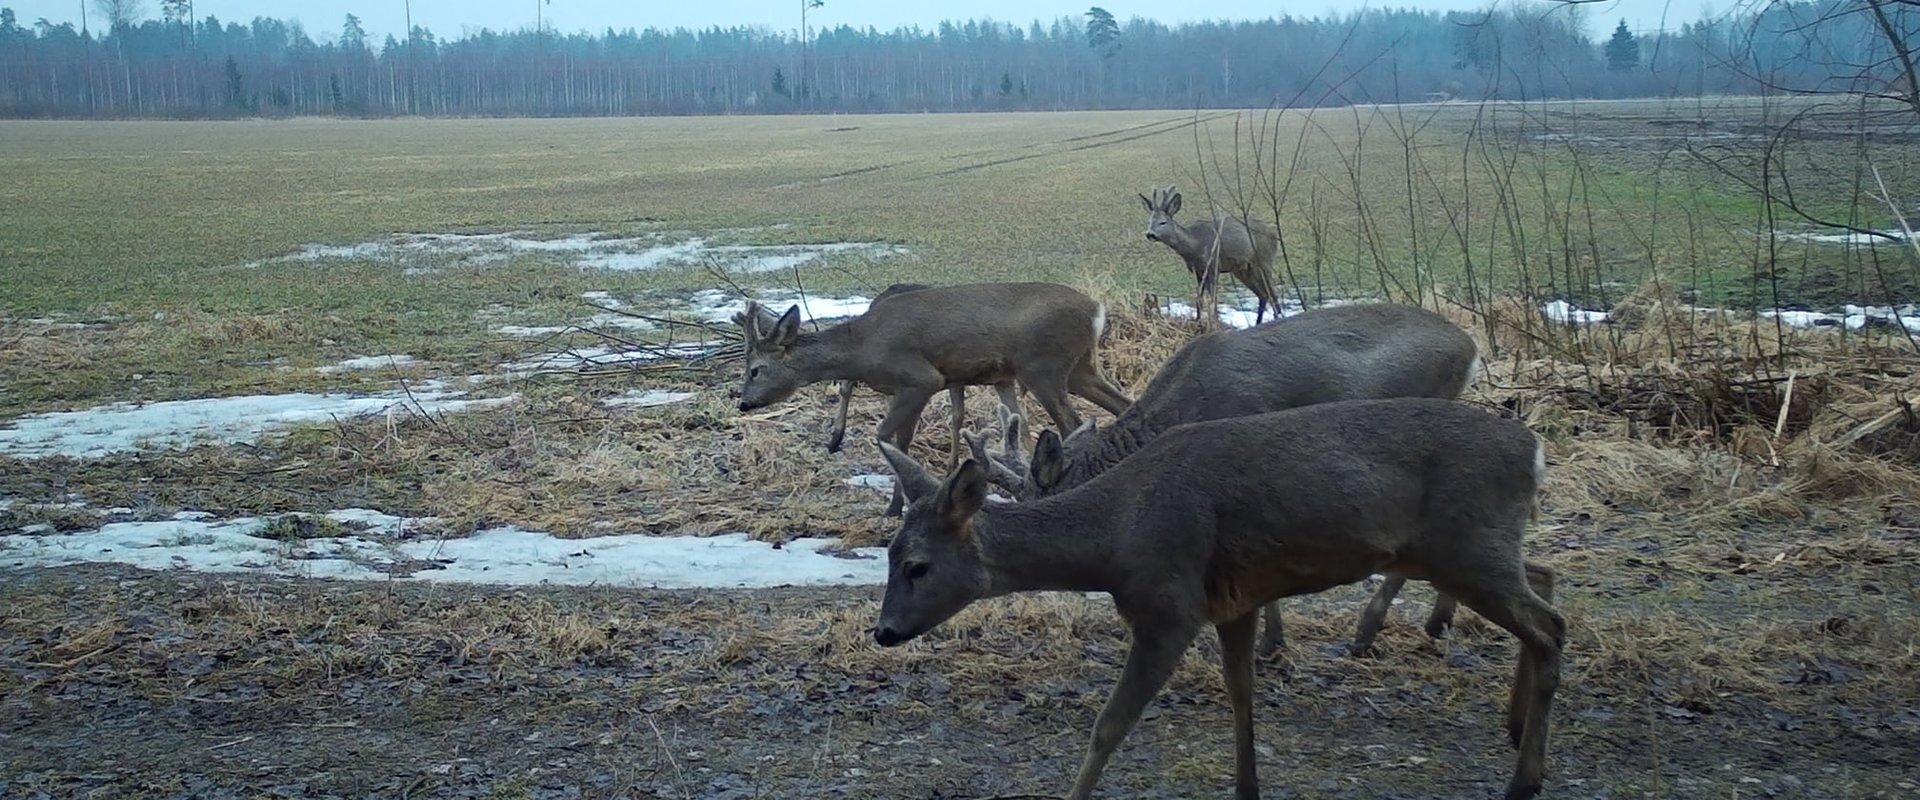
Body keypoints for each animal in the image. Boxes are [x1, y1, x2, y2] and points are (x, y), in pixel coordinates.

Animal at [729, 283, 1121, 514]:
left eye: (755, 370)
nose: (744, 403)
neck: (864, 348)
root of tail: (1096, 311)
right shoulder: (911, 388)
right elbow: (902, 440)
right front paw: (895, 507)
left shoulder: (921, 378)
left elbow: (884, 436)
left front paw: (900, 504)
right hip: (1079, 368)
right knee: (1119, 404)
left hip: (1044, 367)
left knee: (1072, 422)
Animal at [879, 397, 1566, 798]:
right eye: (887, 557)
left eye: (916, 566)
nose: (883, 631)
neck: (1117, 537)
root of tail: (1533, 449)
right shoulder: (1233, 603)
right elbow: (1241, 700)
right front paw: (1247, 789)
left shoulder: (1169, 606)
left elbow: (1108, 726)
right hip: (1460, 550)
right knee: (1545, 582)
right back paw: (1513, 729)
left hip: (1464, 546)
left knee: (1551, 627)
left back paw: (1524, 780)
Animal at [967, 303, 1474, 656]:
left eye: (1035, 501)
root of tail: (1470, 349)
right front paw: (1269, 640)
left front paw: (1267, 643)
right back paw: (1437, 622)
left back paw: (1369, 632)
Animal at [1128, 184, 1282, 324]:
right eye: (1149, 221)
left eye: (1163, 222)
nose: (1149, 234)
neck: (1194, 246)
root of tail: (1273, 233)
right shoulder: (1197, 270)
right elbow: (1199, 299)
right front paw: (1198, 320)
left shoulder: (1213, 266)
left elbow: (1213, 299)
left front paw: (1214, 322)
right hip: (1243, 269)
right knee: (1263, 294)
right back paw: (1258, 322)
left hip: (1265, 260)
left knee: (1272, 294)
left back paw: (1277, 317)